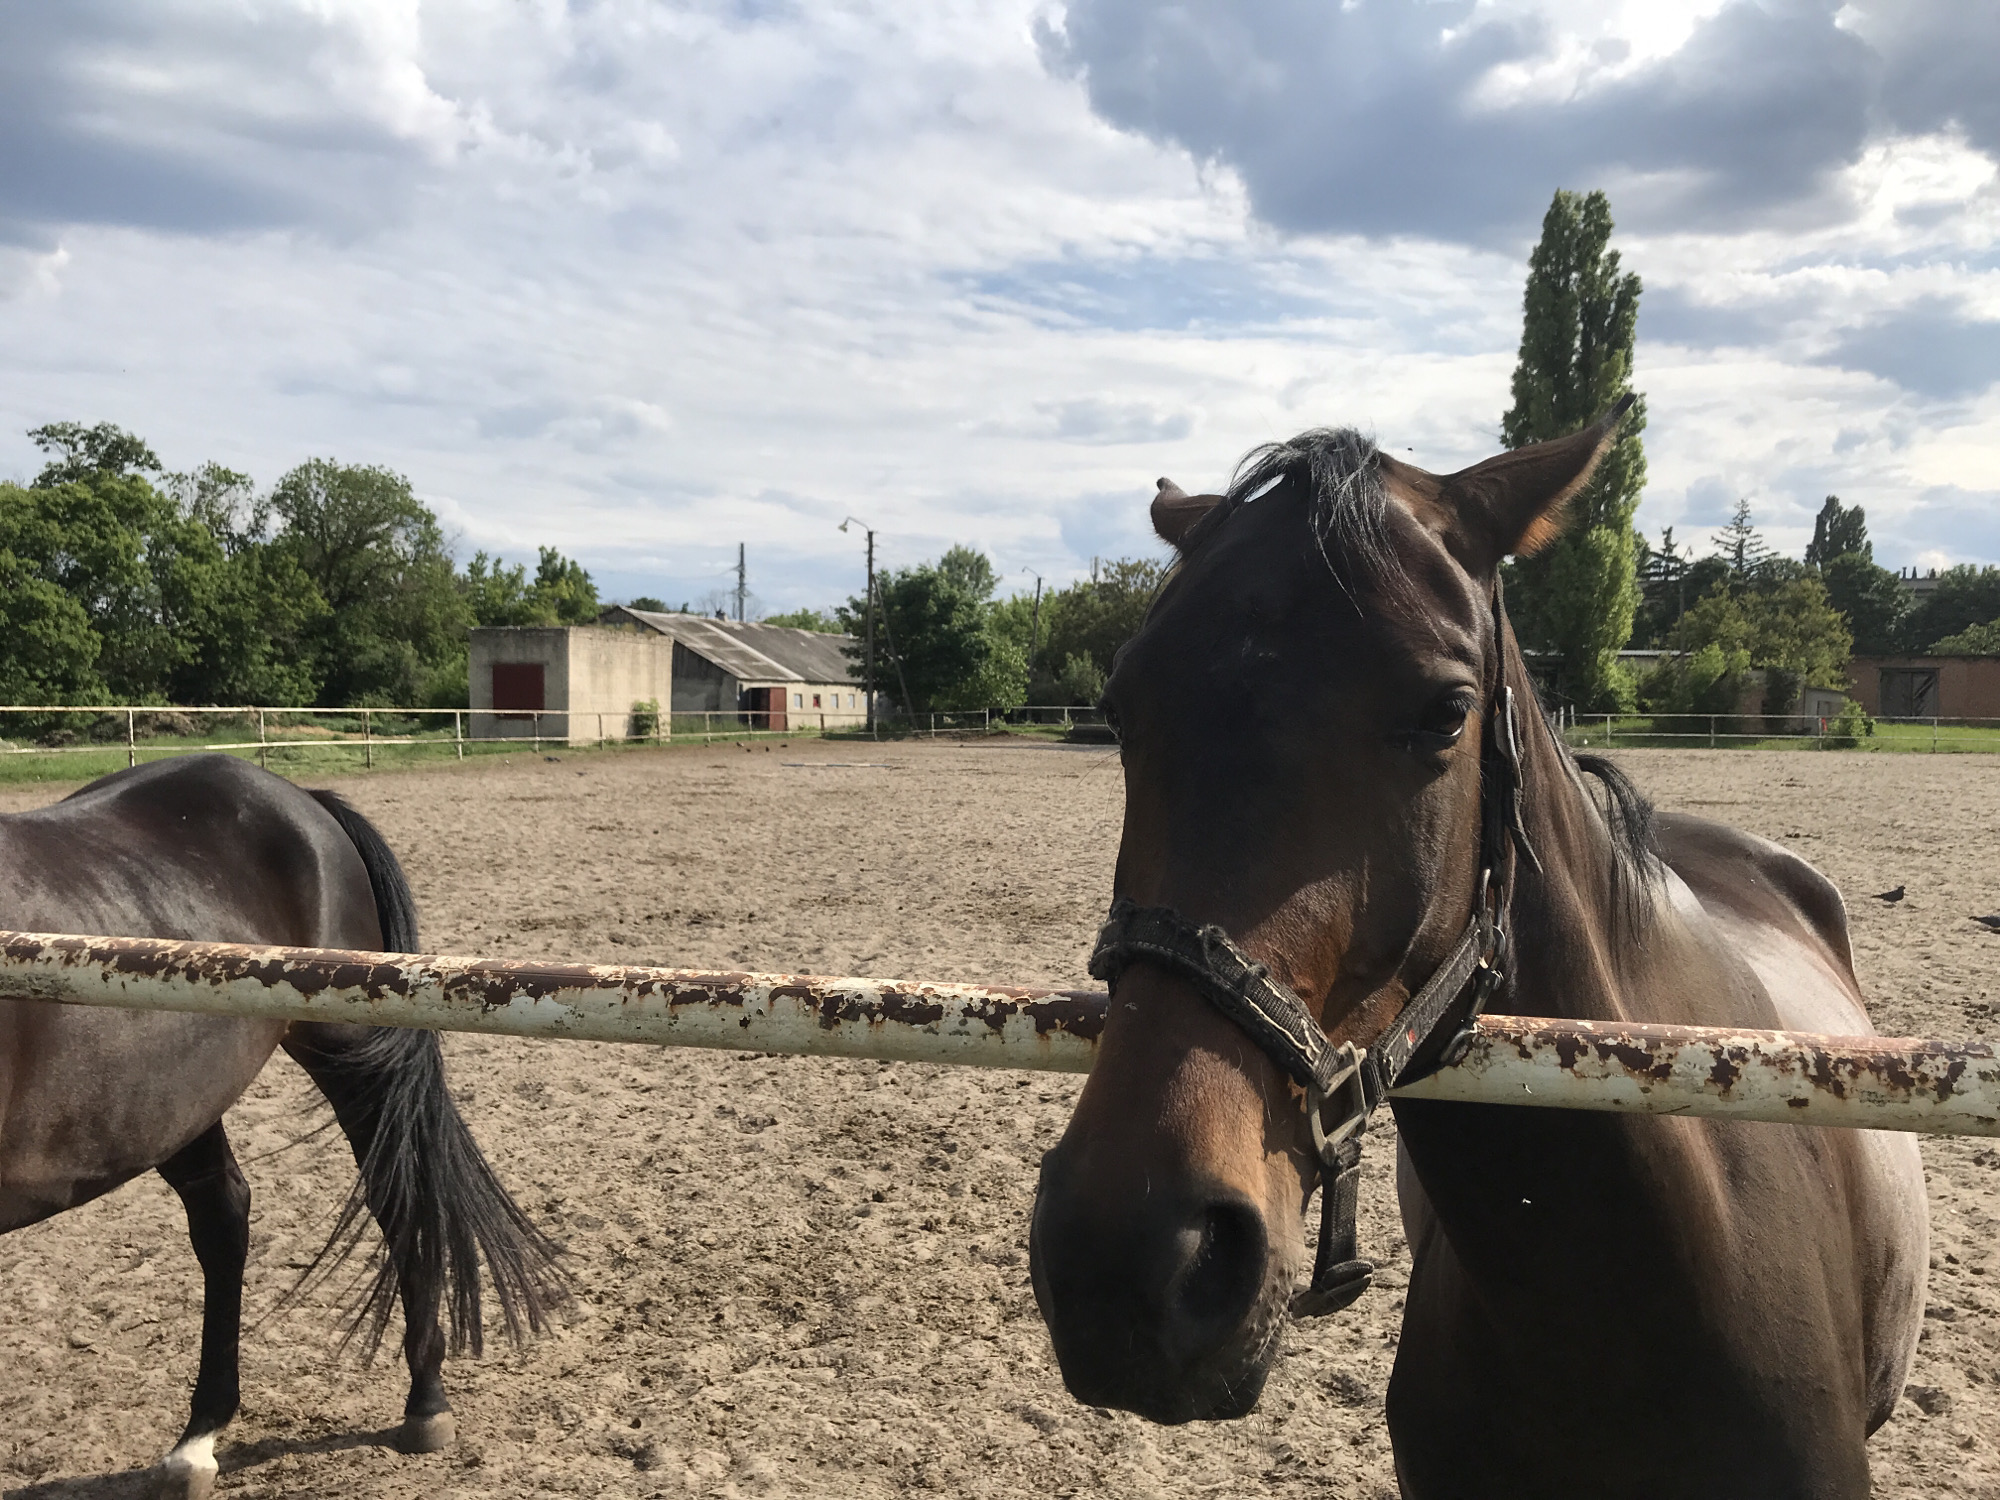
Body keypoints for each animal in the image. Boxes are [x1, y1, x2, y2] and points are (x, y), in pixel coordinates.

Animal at [0, 753, 565, 1499]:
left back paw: (425, 1403)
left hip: (346, 1054)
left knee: (396, 1198)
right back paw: (197, 1441)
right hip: (174, 1101)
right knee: (223, 1217)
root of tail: (301, 798)